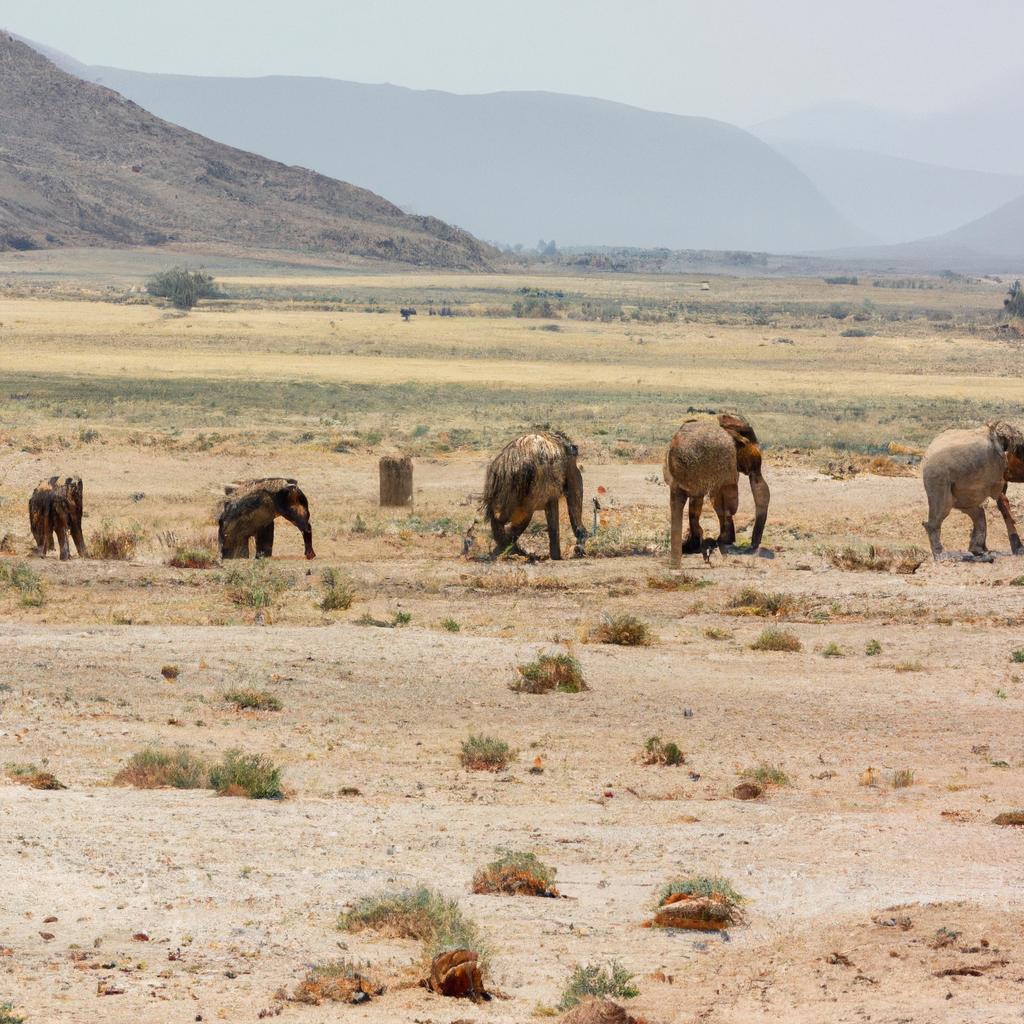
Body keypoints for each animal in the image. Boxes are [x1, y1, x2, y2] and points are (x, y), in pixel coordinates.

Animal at [483, 430, 589, 561]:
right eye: (573, 461)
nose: (578, 550)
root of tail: (512, 465)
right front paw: (557, 557)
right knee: (512, 517)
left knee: (501, 518)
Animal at [921, 419, 1024, 561]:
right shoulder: (995, 467)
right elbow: (999, 495)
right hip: (938, 479)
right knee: (943, 510)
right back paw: (941, 557)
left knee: (976, 512)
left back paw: (980, 552)